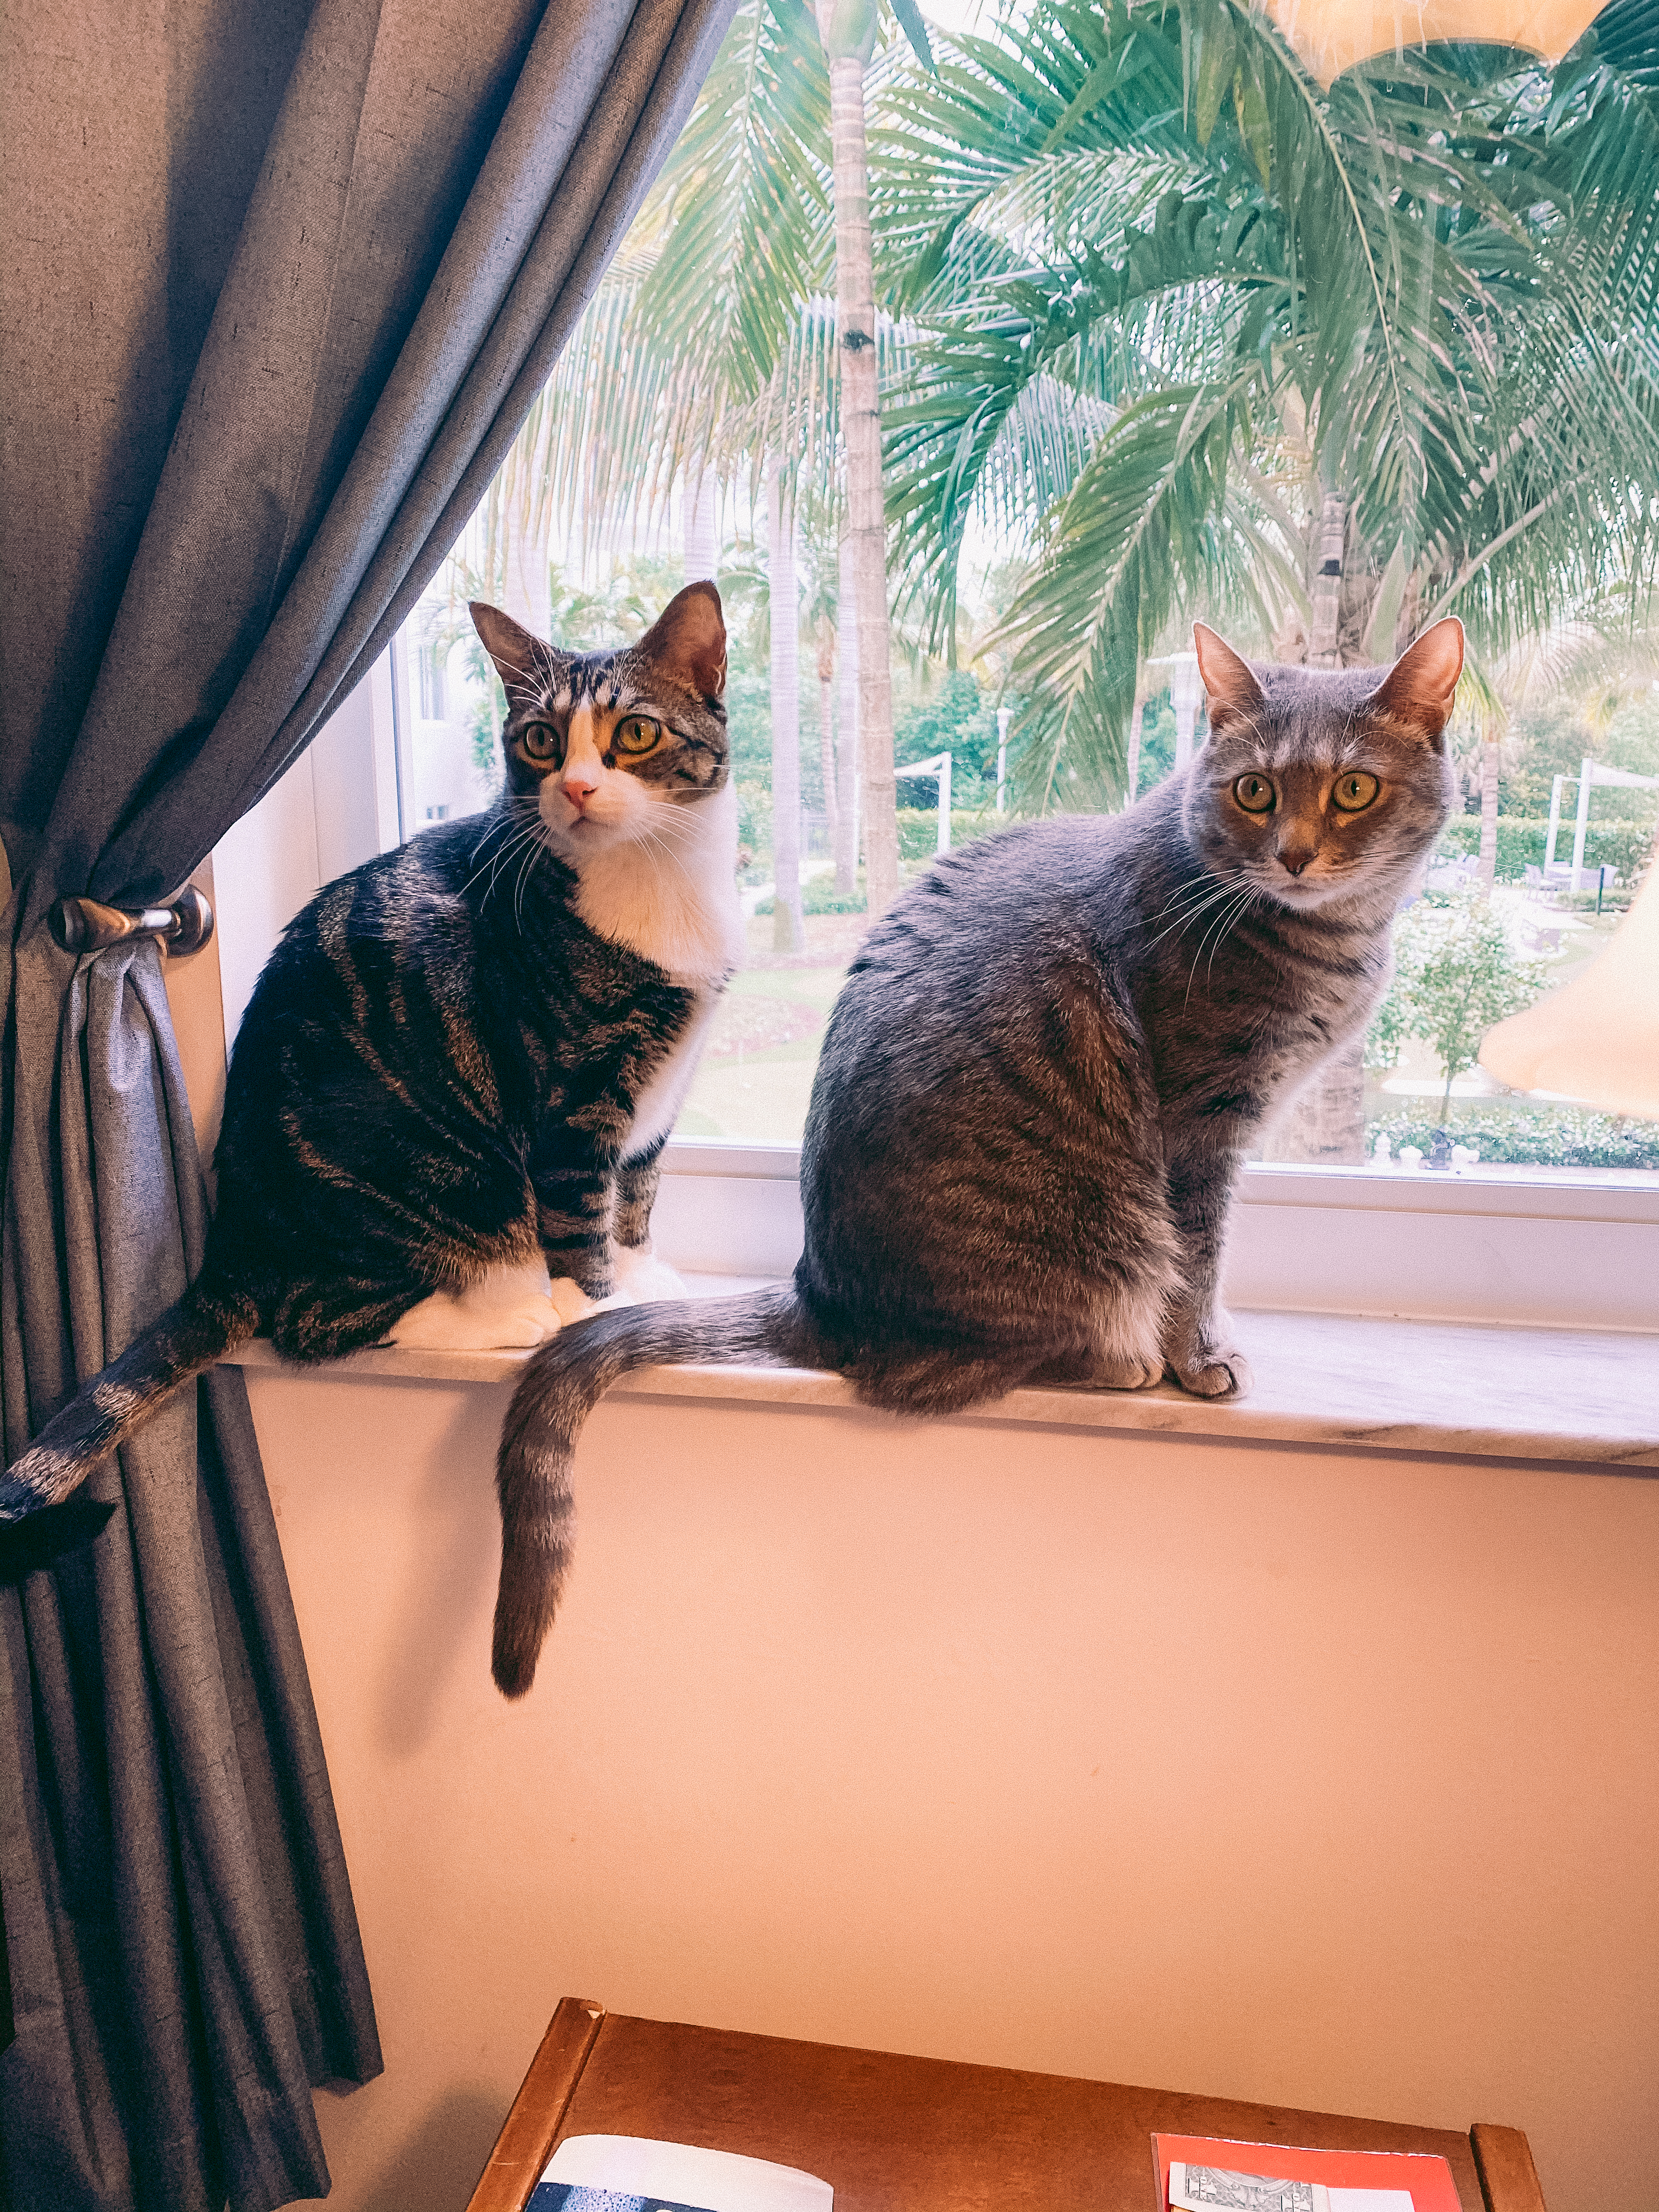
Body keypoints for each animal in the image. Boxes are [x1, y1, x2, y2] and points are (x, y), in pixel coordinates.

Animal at [484, 619, 1469, 1690]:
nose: (1293, 855)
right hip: (1092, 1237)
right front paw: (1201, 1357)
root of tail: (817, 1294)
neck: (1329, 943)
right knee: (986, 1355)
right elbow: (1198, 1259)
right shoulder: (1199, 1127)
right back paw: (1120, 1361)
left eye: (1352, 789)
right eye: (1254, 790)